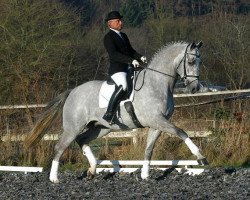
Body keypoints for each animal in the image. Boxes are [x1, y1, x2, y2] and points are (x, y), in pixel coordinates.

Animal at [24, 40, 207, 183]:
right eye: (191, 61)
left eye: (200, 62)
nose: (194, 88)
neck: (157, 83)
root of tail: (73, 91)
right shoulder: (156, 120)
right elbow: (181, 132)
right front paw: (200, 157)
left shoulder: (157, 124)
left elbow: (149, 149)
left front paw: (145, 175)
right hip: (73, 127)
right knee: (59, 147)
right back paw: (54, 178)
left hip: (102, 128)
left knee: (82, 140)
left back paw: (92, 170)